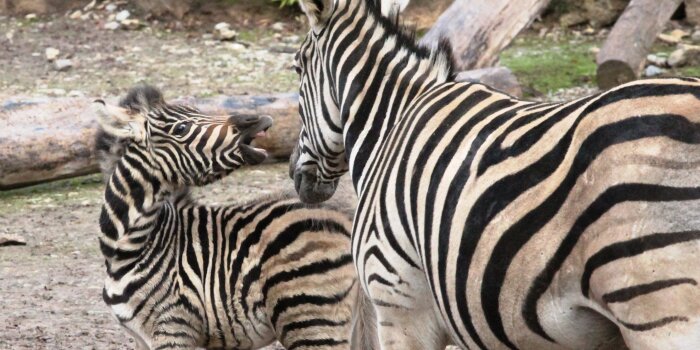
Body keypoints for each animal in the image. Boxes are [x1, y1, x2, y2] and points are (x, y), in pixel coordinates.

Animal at [94, 85, 366, 350]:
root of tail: (344, 218)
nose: (257, 119)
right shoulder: (142, 336)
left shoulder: (174, 326)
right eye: (181, 129)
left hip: (310, 317)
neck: (128, 251)